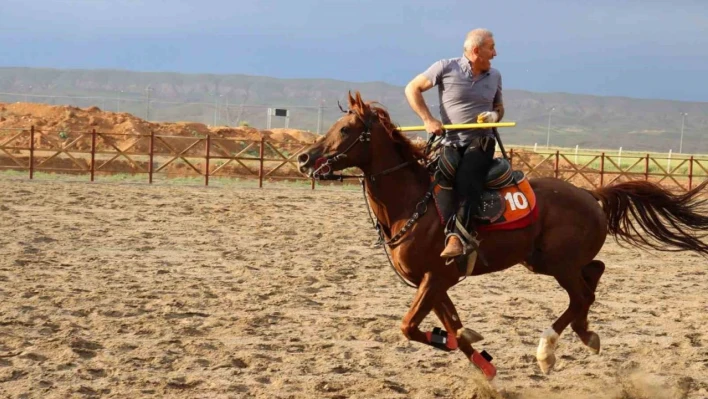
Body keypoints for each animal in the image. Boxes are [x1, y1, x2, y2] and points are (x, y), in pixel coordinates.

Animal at [296, 92, 704, 380]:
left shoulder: (435, 277)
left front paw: (462, 345)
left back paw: (547, 350)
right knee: (594, 275)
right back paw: (586, 334)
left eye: (345, 130)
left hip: (557, 264)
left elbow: (410, 325)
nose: (303, 158)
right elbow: (451, 325)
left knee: (582, 294)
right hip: (545, 261)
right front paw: (478, 357)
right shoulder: (436, 282)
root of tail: (590, 194)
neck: (414, 203)